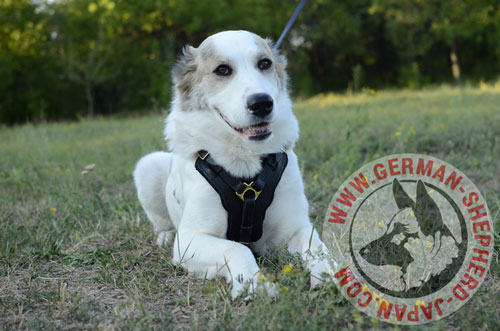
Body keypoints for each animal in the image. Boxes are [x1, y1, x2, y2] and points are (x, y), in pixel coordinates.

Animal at [135, 31, 334, 300]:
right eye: (222, 70)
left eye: (264, 64)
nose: (262, 103)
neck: (245, 162)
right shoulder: (189, 240)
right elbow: (237, 249)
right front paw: (255, 283)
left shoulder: (295, 229)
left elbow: (318, 248)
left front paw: (331, 275)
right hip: (148, 165)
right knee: (162, 221)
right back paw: (165, 235)